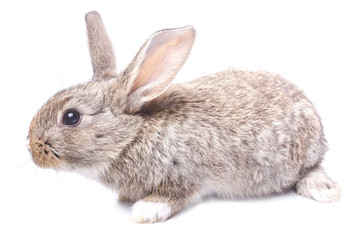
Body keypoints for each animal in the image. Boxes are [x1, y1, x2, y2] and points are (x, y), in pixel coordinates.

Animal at [27, 11, 340, 223]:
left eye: (71, 117)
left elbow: (174, 195)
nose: (32, 148)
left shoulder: (185, 175)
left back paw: (325, 191)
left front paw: (145, 210)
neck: (132, 136)